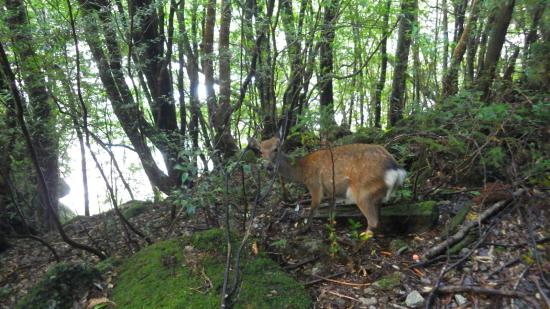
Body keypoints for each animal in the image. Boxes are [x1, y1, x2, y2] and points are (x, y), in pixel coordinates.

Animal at [248, 136, 408, 237]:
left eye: (276, 149)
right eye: (260, 151)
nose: (268, 167)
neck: (301, 171)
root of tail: (396, 169)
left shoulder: (314, 184)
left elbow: (313, 208)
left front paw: (304, 229)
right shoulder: (332, 191)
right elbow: (332, 210)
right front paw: (331, 228)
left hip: (362, 191)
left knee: (373, 221)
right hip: (376, 193)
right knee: (378, 215)